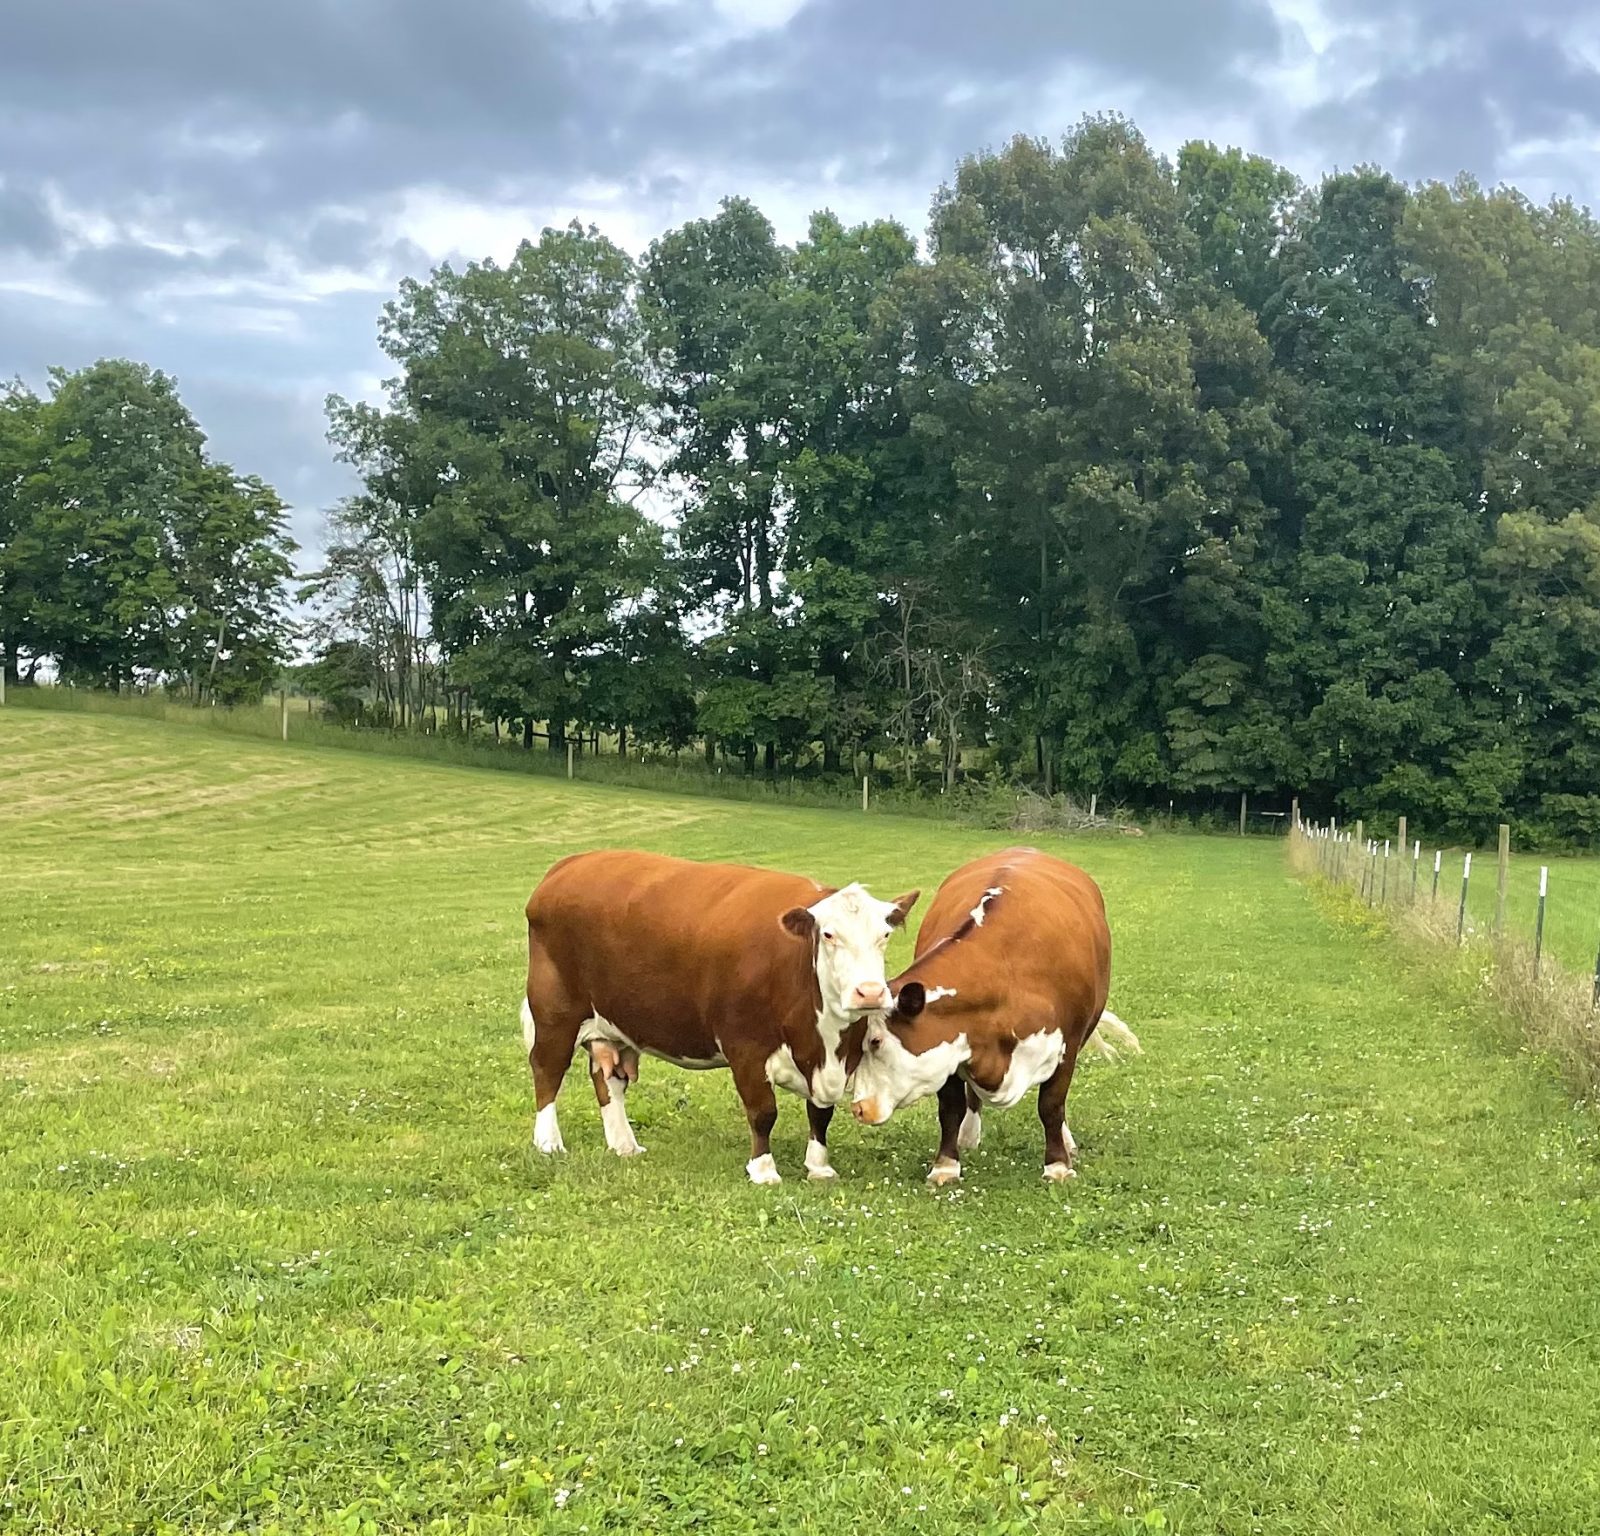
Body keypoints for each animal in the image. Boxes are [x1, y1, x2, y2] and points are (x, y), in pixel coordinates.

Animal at [521, 844, 915, 1184]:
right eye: (829, 935)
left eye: (884, 935)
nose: (870, 992)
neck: (822, 1041)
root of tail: (572, 863)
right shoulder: (746, 1047)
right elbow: (763, 1111)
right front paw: (763, 1170)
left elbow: (820, 1113)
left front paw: (819, 1167)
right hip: (554, 1010)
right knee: (547, 1069)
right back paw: (549, 1143)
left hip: (614, 1021)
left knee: (609, 1079)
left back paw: (625, 1145)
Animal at [844, 844, 1132, 1184]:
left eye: (875, 1042)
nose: (859, 1108)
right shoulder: (952, 1046)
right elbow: (951, 1108)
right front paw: (946, 1165)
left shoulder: (1068, 1046)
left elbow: (1051, 1105)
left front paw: (1057, 1165)